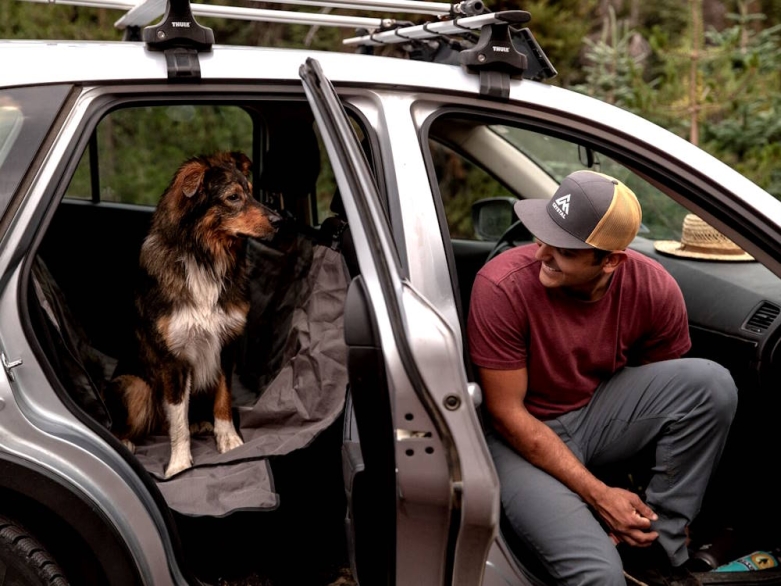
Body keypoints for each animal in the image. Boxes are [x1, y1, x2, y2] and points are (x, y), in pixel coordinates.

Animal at [107, 149, 280, 474]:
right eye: (233, 197)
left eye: (252, 192)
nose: (279, 221)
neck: (206, 258)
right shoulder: (174, 358)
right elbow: (177, 421)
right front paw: (179, 464)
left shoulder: (226, 345)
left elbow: (223, 399)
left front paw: (228, 440)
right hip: (134, 386)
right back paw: (124, 443)